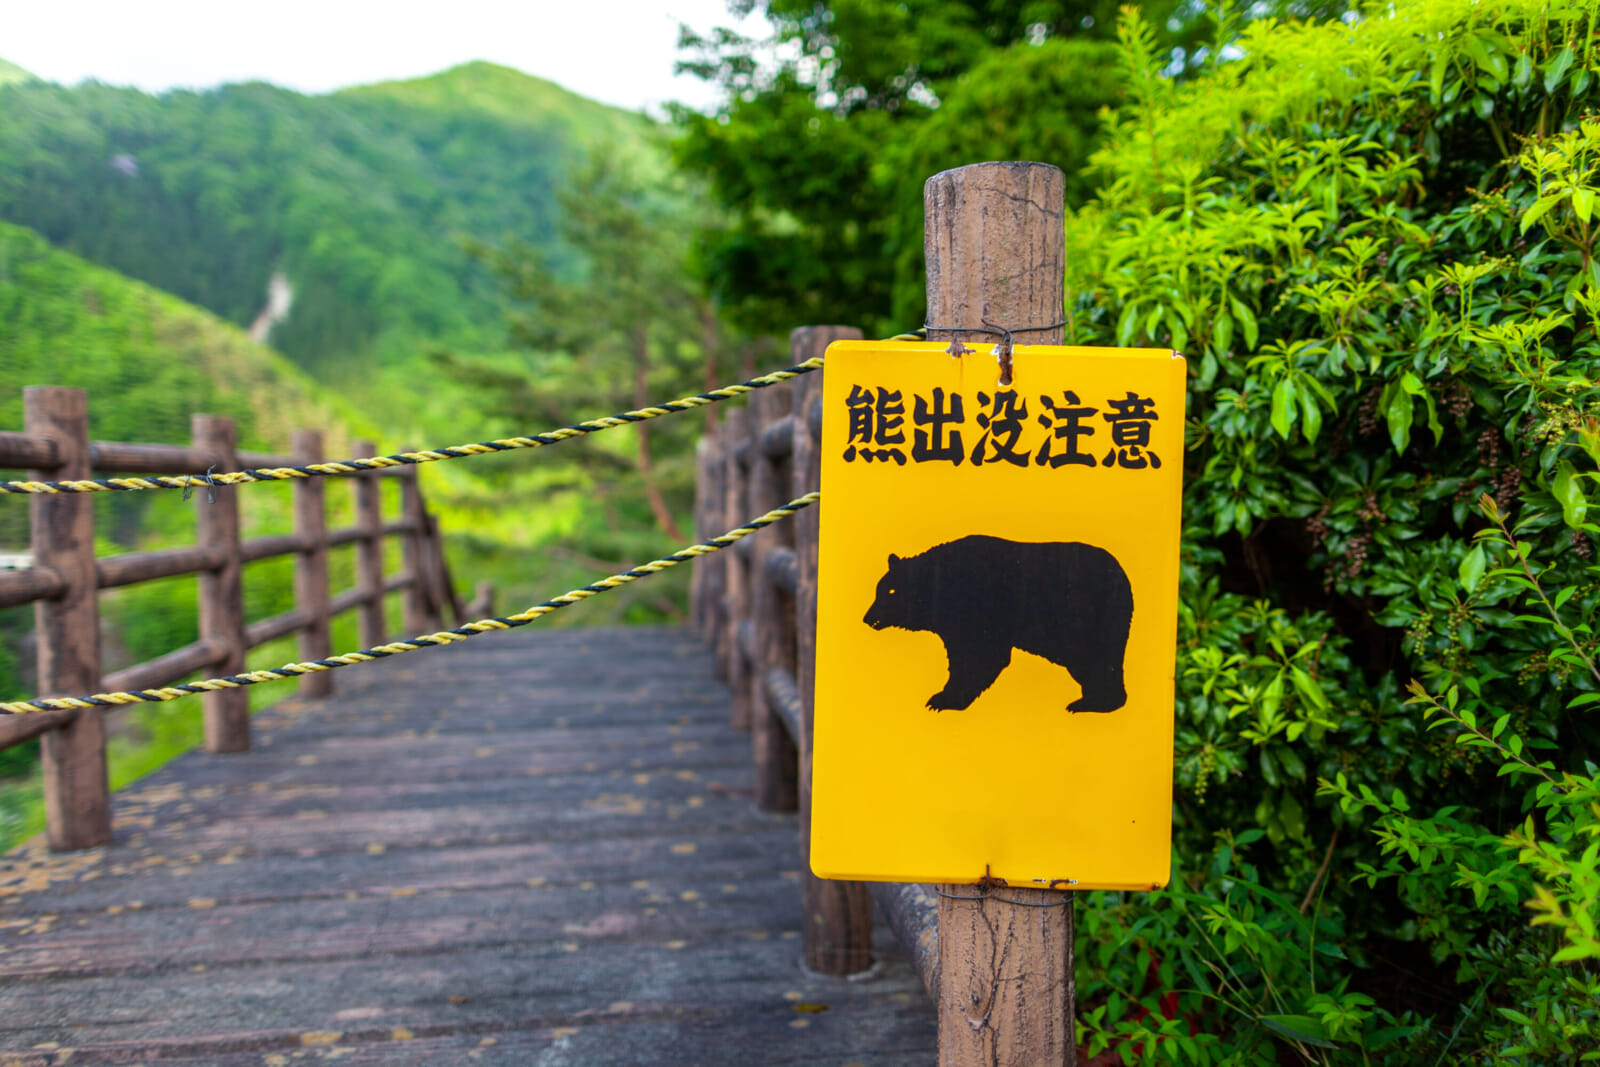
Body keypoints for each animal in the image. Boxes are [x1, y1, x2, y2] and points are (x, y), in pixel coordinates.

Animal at [862, 535, 1134, 713]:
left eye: (890, 591)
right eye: (879, 590)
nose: (867, 618)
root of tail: (1122, 574)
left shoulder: (978, 611)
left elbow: (980, 656)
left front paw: (943, 699)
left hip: (1088, 621)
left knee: (1098, 660)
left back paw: (1093, 704)